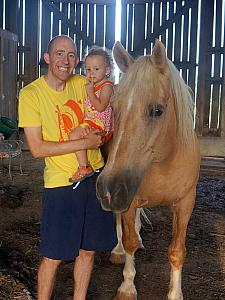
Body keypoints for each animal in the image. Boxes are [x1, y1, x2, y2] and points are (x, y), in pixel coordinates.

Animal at [96, 39, 200, 300]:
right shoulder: (128, 199)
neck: (164, 161)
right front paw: (127, 287)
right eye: (114, 107)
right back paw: (118, 251)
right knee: (120, 224)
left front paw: (175, 293)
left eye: (157, 110)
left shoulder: (185, 202)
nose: (109, 189)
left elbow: (177, 250)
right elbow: (129, 241)